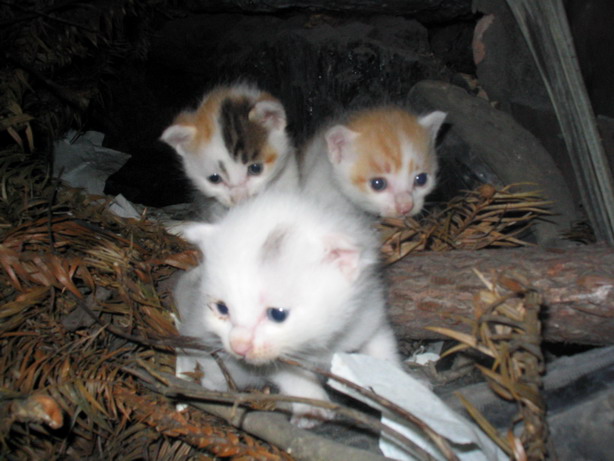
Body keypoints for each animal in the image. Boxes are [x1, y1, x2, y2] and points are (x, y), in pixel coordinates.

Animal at [174, 190, 399, 428]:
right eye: (222, 308)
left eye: (277, 314)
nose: (239, 347)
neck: (322, 343)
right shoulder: (268, 362)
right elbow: (290, 375)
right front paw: (312, 406)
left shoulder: (370, 315)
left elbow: (382, 349)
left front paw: (391, 392)